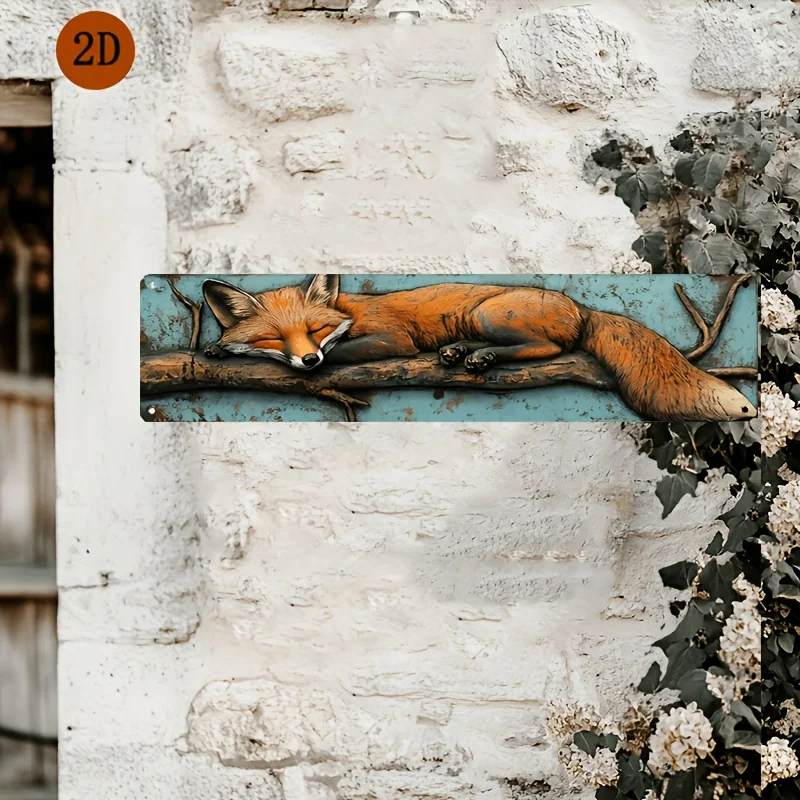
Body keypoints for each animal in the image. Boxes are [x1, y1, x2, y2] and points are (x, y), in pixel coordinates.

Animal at [201, 274, 757, 422]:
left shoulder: (393, 337)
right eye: (273, 338)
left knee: (544, 349)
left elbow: (349, 350)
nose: (308, 358)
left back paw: (481, 356)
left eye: (316, 332)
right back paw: (461, 353)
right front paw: (219, 350)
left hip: (490, 313)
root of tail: (582, 307)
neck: (352, 308)